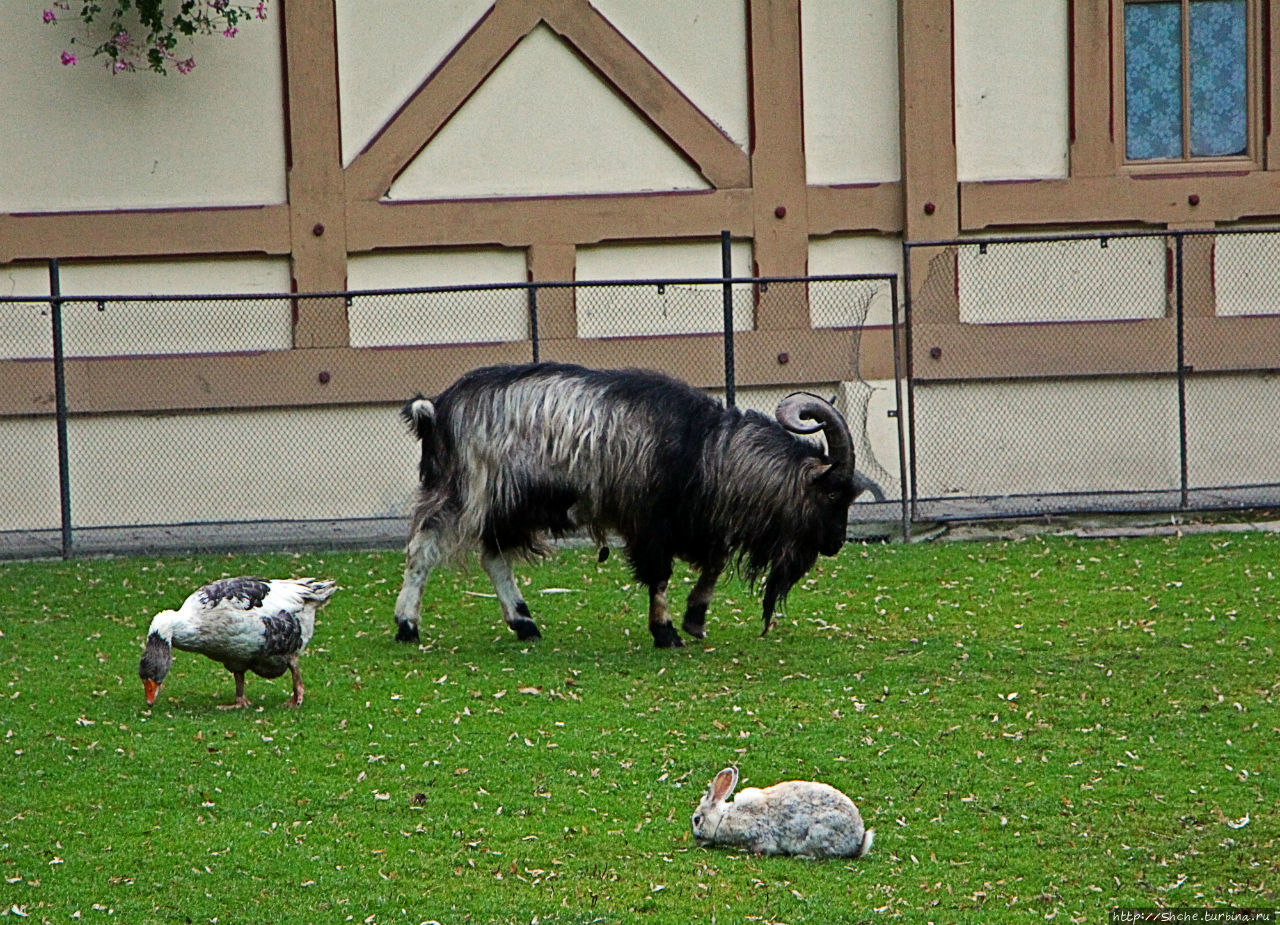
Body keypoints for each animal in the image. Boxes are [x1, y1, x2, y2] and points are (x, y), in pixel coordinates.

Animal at [394, 358, 865, 647]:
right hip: (466, 494)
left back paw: (524, 623)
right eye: (833, 493)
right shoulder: (651, 524)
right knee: (424, 548)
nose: (836, 544)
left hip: (508, 507)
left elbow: (712, 563)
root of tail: (436, 409)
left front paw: (695, 619)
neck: (709, 448)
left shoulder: (696, 523)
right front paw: (667, 632)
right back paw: (407, 626)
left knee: (493, 556)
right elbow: (659, 576)